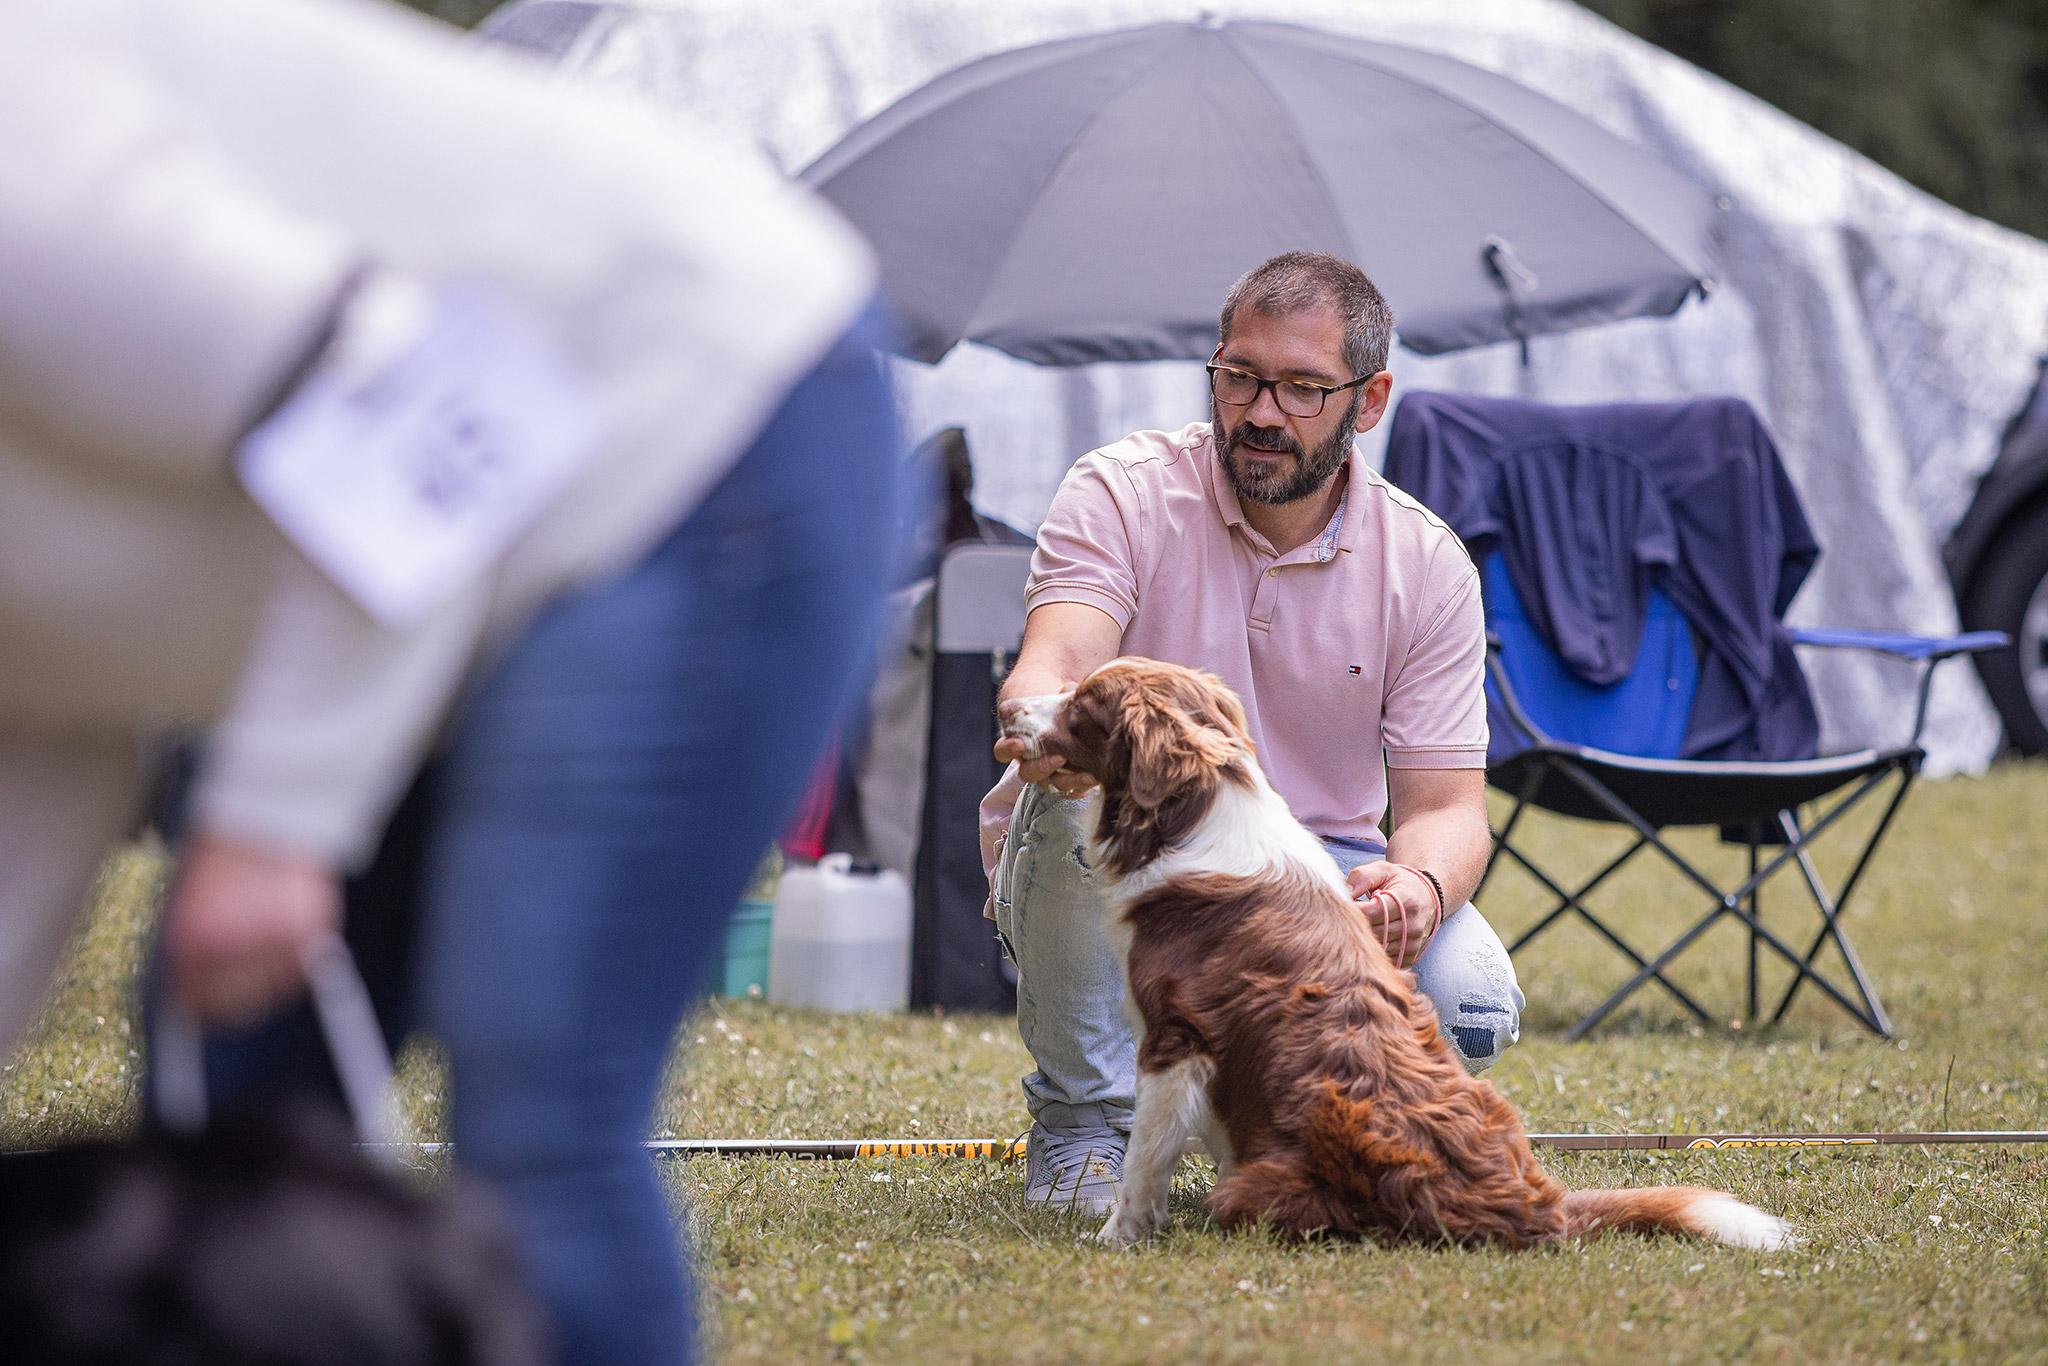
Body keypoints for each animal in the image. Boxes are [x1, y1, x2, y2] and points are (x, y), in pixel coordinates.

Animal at [1003, 655, 1794, 1253]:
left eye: (1084, 705)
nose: (1008, 709)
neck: (1195, 812)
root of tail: (1541, 1206)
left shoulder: (1176, 1039)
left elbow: (1146, 1155)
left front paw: (1118, 1234)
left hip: (1256, 1187)